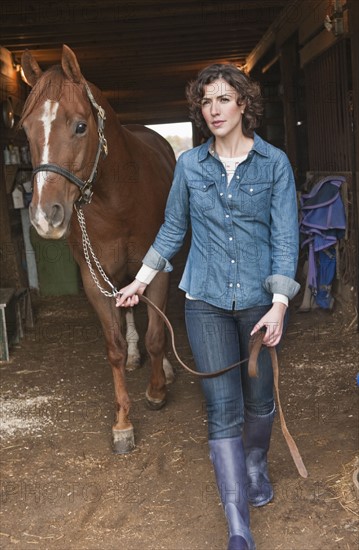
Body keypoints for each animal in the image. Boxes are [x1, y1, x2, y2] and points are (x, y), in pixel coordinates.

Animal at [20, 45, 177, 454]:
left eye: (80, 126)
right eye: (26, 129)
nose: (44, 215)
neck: (118, 199)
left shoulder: (157, 270)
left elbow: (157, 333)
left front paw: (157, 391)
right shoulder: (94, 279)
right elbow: (115, 346)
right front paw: (122, 422)